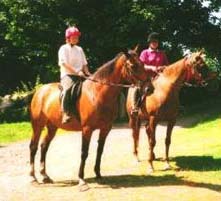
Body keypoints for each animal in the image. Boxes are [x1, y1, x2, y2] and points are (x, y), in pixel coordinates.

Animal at [28, 49, 147, 190]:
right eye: (133, 66)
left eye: (142, 64)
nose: (148, 85)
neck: (97, 94)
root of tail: (40, 91)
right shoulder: (87, 129)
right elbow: (84, 153)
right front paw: (81, 180)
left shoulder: (105, 128)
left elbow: (100, 151)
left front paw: (98, 174)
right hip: (37, 125)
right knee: (33, 147)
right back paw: (33, 178)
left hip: (52, 127)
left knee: (44, 146)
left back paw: (45, 176)